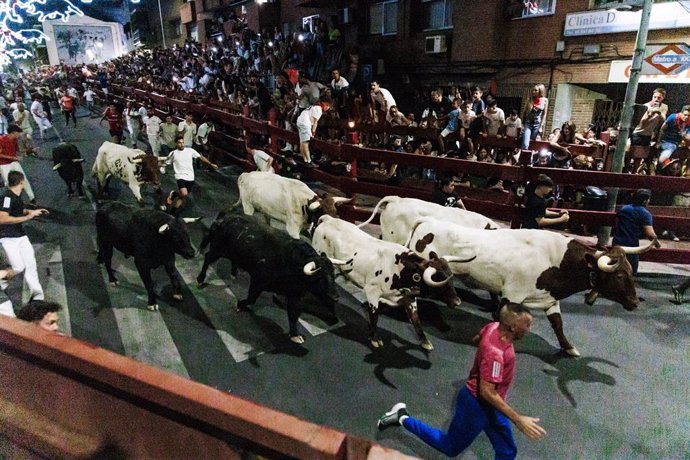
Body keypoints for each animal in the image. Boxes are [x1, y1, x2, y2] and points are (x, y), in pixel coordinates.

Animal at [196, 214, 338, 344]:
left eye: (333, 274)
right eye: (320, 277)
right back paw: (200, 279)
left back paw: (233, 273)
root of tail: (222, 220)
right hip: (218, 249)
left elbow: (293, 314)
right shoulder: (257, 281)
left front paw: (295, 335)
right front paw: (240, 304)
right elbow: (251, 298)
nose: (336, 297)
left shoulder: (295, 295)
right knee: (208, 257)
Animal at [312, 217, 472, 350]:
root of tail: (328, 219)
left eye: (451, 278)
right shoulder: (372, 291)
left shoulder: (409, 298)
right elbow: (374, 315)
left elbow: (416, 320)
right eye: (438, 280)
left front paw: (424, 341)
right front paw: (374, 338)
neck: (401, 269)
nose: (457, 301)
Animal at [408, 221, 656, 358]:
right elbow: (499, 318)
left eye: (630, 270)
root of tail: (425, 223)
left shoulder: (551, 299)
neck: (556, 260)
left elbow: (558, 324)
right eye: (619, 275)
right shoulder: (512, 295)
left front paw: (568, 347)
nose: (635, 302)